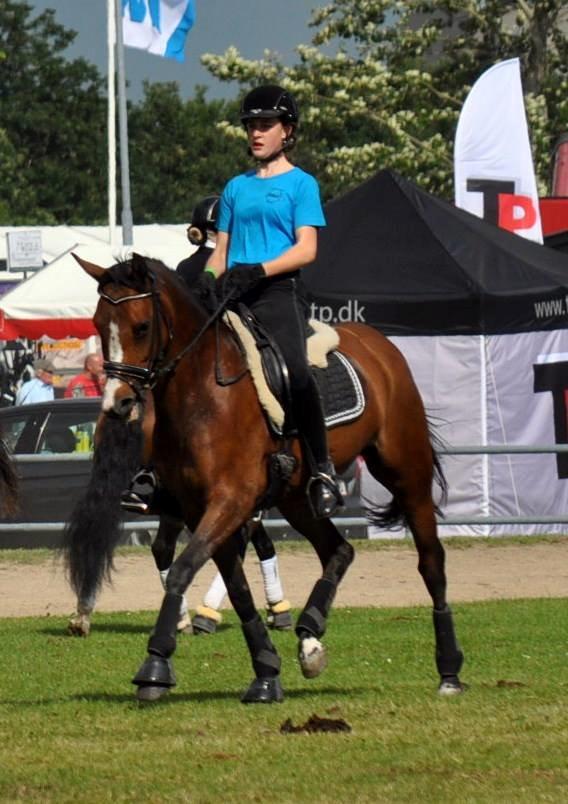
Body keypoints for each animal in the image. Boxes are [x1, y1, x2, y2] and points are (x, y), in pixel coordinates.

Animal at [63, 253, 464, 703]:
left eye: (142, 327)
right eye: (98, 324)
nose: (117, 404)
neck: (201, 393)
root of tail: (379, 344)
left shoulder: (232, 500)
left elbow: (184, 569)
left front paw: (155, 665)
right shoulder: (201, 507)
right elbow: (236, 587)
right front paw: (266, 672)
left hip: (406, 473)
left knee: (431, 561)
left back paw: (449, 669)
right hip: (297, 499)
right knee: (339, 550)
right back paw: (310, 635)